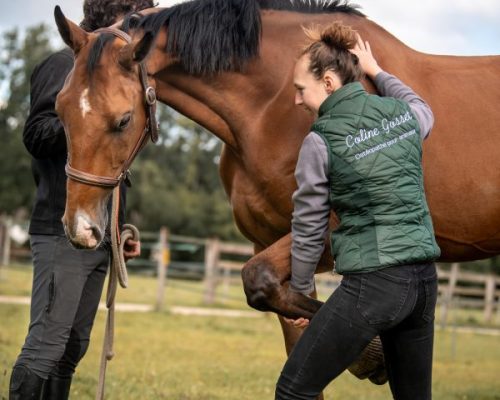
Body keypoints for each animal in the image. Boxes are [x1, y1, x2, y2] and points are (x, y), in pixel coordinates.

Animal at [53, 0, 500, 388]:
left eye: (123, 119)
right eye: (59, 110)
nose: (81, 229)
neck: (274, 106)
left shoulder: (328, 235)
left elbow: (260, 280)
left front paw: (372, 356)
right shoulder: (271, 242)